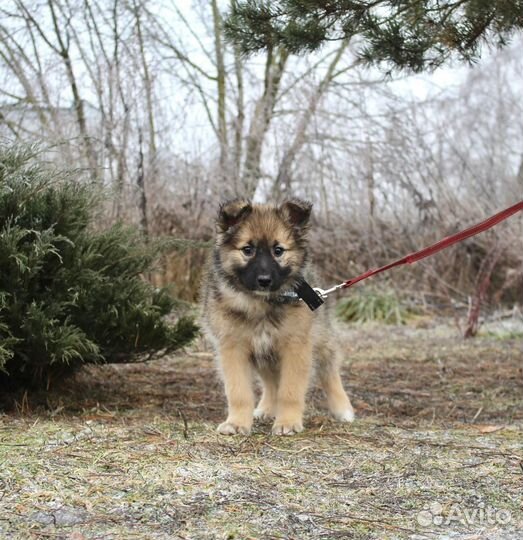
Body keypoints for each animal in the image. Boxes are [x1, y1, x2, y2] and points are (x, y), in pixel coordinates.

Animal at [201, 198, 356, 434]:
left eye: (278, 250)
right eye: (247, 249)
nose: (264, 280)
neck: (261, 304)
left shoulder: (296, 346)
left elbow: (289, 390)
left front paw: (288, 422)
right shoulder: (233, 348)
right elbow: (239, 392)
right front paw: (237, 423)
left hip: (321, 341)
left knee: (329, 373)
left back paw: (342, 409)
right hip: (264, 355)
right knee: (271, 382)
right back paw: (266, 409)